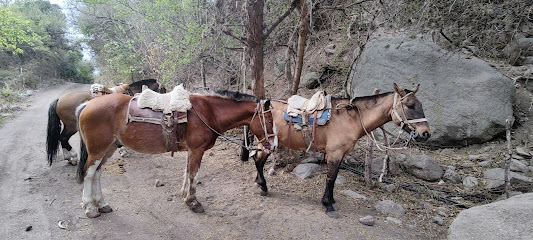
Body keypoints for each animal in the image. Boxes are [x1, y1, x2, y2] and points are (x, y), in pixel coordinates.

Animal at [76, 89, 278, 218]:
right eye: (269, 120)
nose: (274, 145)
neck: (209, 112)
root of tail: (87, 105)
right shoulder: (197, 150)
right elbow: (194, 175)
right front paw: (193, 202)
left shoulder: (192, 151)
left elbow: (187, 173)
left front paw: (185, 197)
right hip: (97, 150)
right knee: (89, 174)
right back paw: (90, 208)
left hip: (108, 148)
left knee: (97, 174)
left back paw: (102, 204)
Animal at [248, 84, 428, 218]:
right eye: (410, 105)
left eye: (421, 105)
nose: (425, 134)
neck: (350, 118)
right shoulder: (334, 154)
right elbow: (330, 178)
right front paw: (328, 205)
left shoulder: (340, 155)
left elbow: (334, 179)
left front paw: (332, 200)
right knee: (258, 160)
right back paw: (263, 187)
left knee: (258, 159)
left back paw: (260, 183)